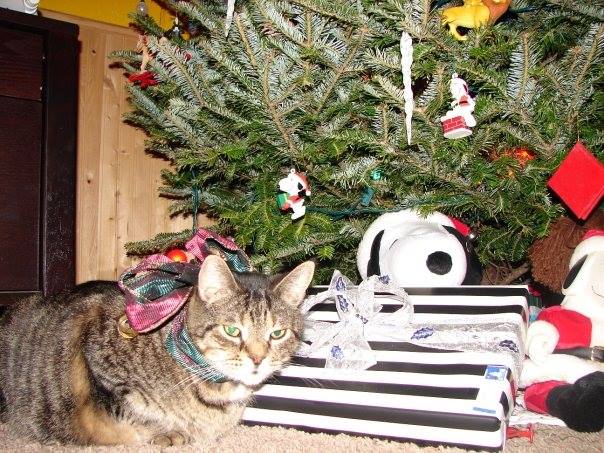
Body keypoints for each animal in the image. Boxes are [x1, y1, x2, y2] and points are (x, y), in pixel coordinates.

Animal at [1, 254, 316, 444]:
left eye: (277, 333)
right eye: (232, 330)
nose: (258, 358)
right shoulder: (100, 368)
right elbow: (138, 412)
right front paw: (170, 432)